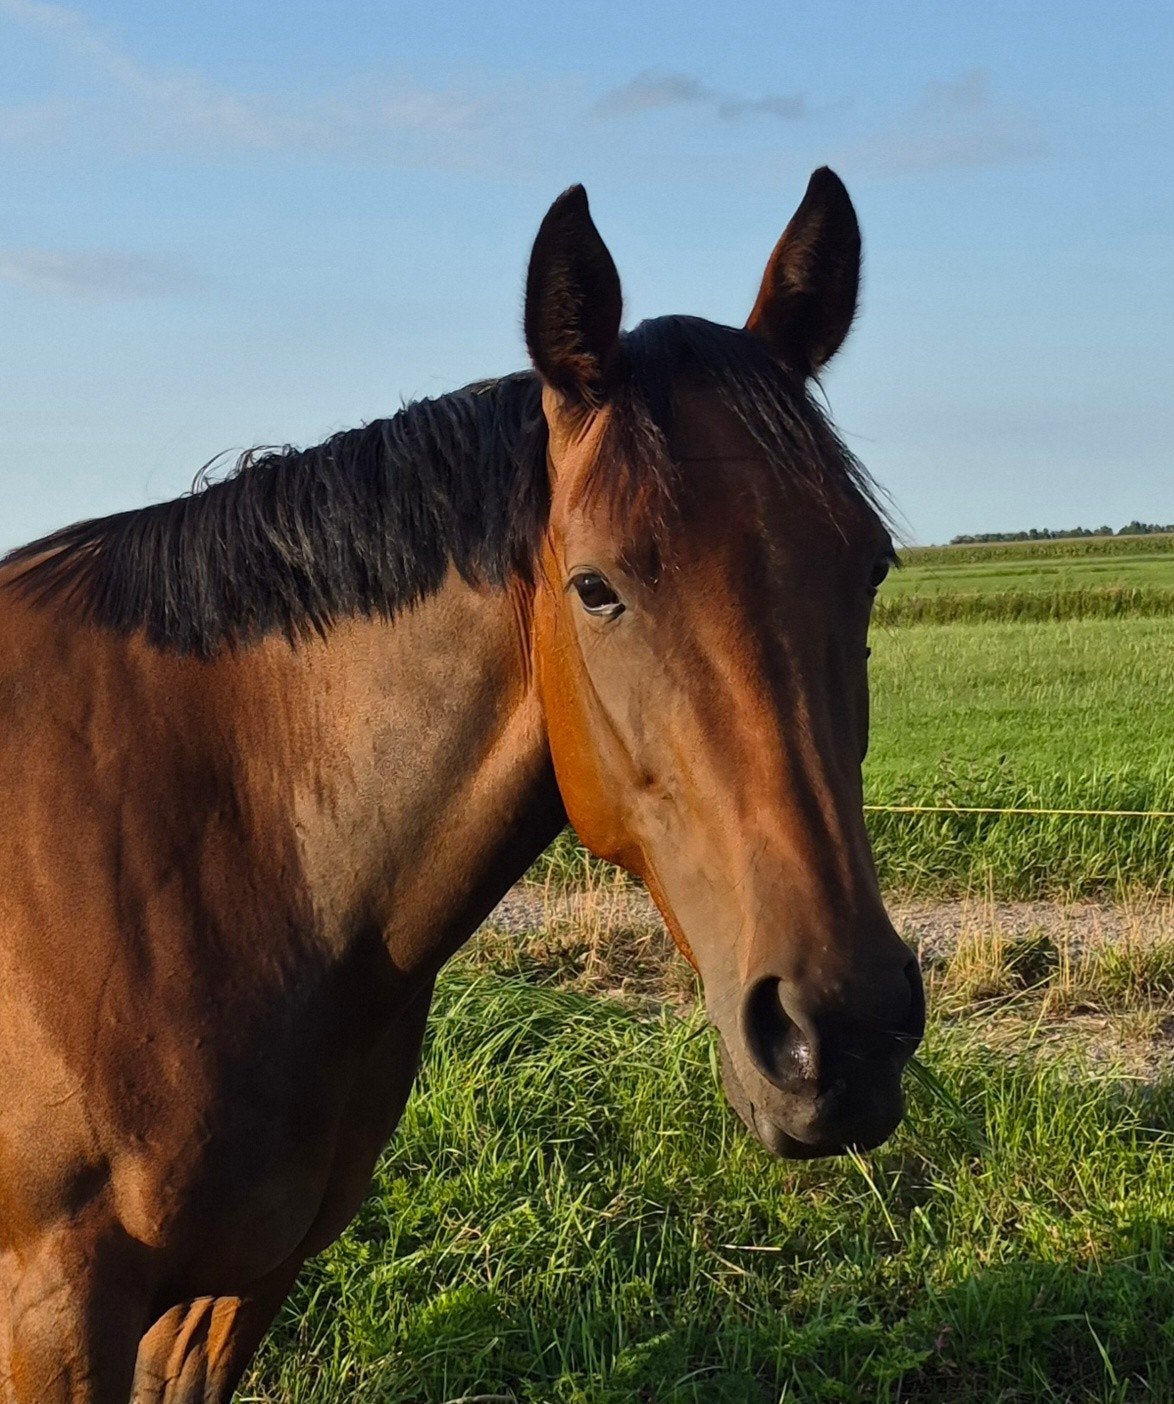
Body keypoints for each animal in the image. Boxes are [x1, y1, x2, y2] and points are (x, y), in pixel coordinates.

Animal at [0, 167, 924, 1401]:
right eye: (596, 587)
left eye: (869, 564)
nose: (845, 1032)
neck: (215, 853)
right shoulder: (54, 1309)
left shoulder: (232, 1290)